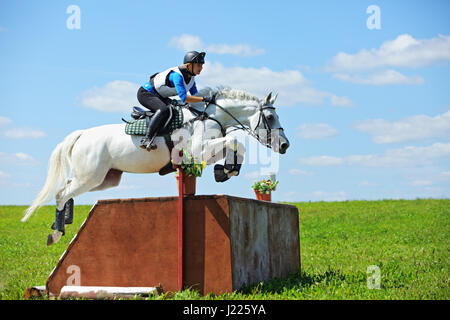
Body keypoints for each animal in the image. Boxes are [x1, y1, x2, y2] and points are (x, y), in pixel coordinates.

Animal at [21, 86, 290, 244]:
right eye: (269, 117)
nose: (285, 145)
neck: (209, 116)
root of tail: (83, 134)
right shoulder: (198, 150)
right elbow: (236, 141)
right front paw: (227, 170)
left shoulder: (204, 152)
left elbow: (235, 146)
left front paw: (224, 171)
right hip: (91, 176)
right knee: (61, 192)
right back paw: (56, 232)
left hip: (103, 178)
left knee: (66, 187)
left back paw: (64, 221)